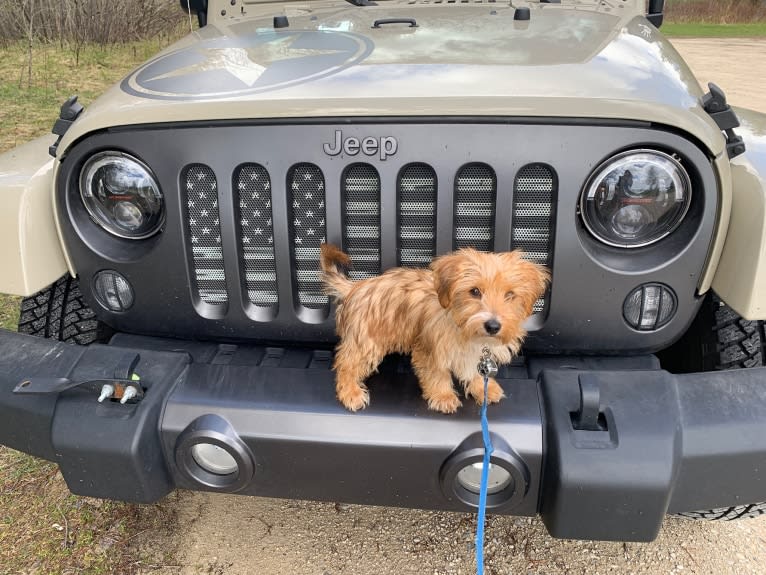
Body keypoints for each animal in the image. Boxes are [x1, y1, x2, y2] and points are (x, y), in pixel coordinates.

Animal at [320, 244, 548, 414]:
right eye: (474, 291)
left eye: (510, 295)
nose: (492, 326)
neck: (463, 327)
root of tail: (355, 287)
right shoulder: (429, 349)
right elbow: (437, 374)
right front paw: (443, 396)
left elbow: (474, 371)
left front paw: (484, 388)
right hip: (366, 341)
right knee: (346, 364)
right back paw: (350, 392)